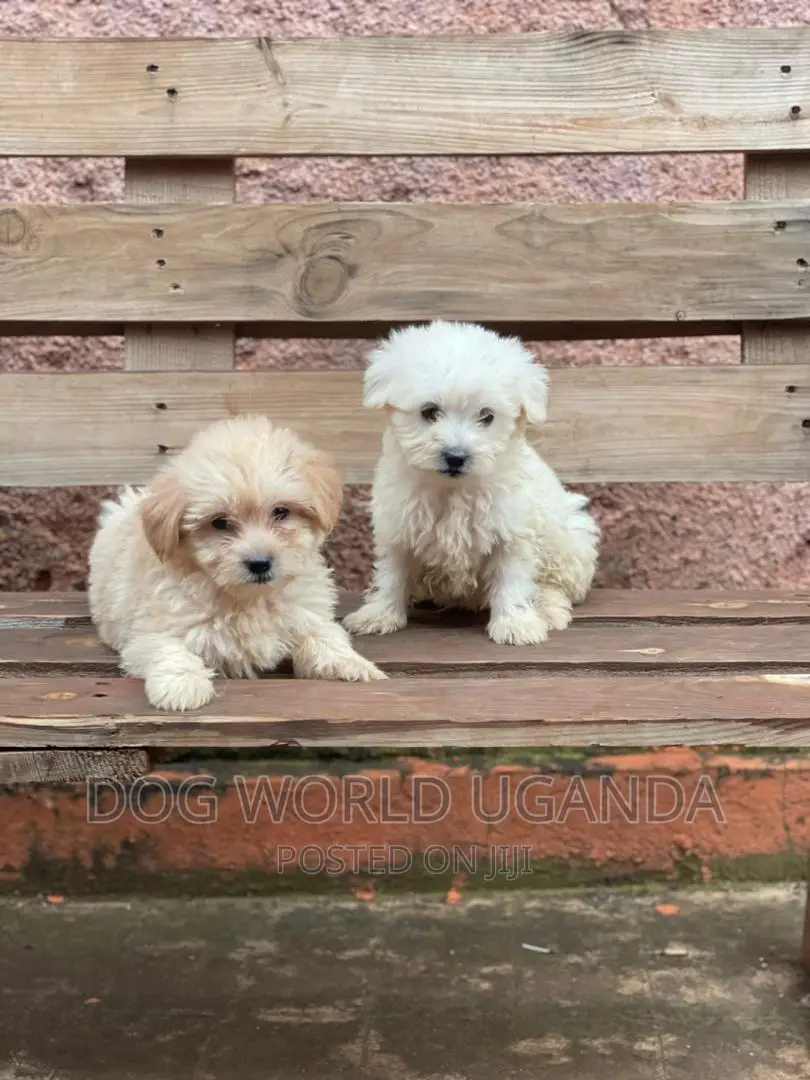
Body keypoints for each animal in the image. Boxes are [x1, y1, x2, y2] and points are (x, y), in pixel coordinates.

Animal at [88, 416, 386, 712]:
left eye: (281, 512)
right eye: (220, 522)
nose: (259, 563)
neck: (250, 599)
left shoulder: (306, 612)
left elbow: (325, 634)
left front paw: (352, 664)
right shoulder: (154, 629)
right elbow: (169, 650)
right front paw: (183, 686)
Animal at [343, 317, 604, 639]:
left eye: (487, 416)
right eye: (429, 411)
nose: (456, 456)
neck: (453, 489)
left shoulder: (512, 531)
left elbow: (512, 579)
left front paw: (515, 624)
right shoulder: (399, 527)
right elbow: (392, 574)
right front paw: (379, 614)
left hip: (569, 540)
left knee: (556, 584)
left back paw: (548, 608)